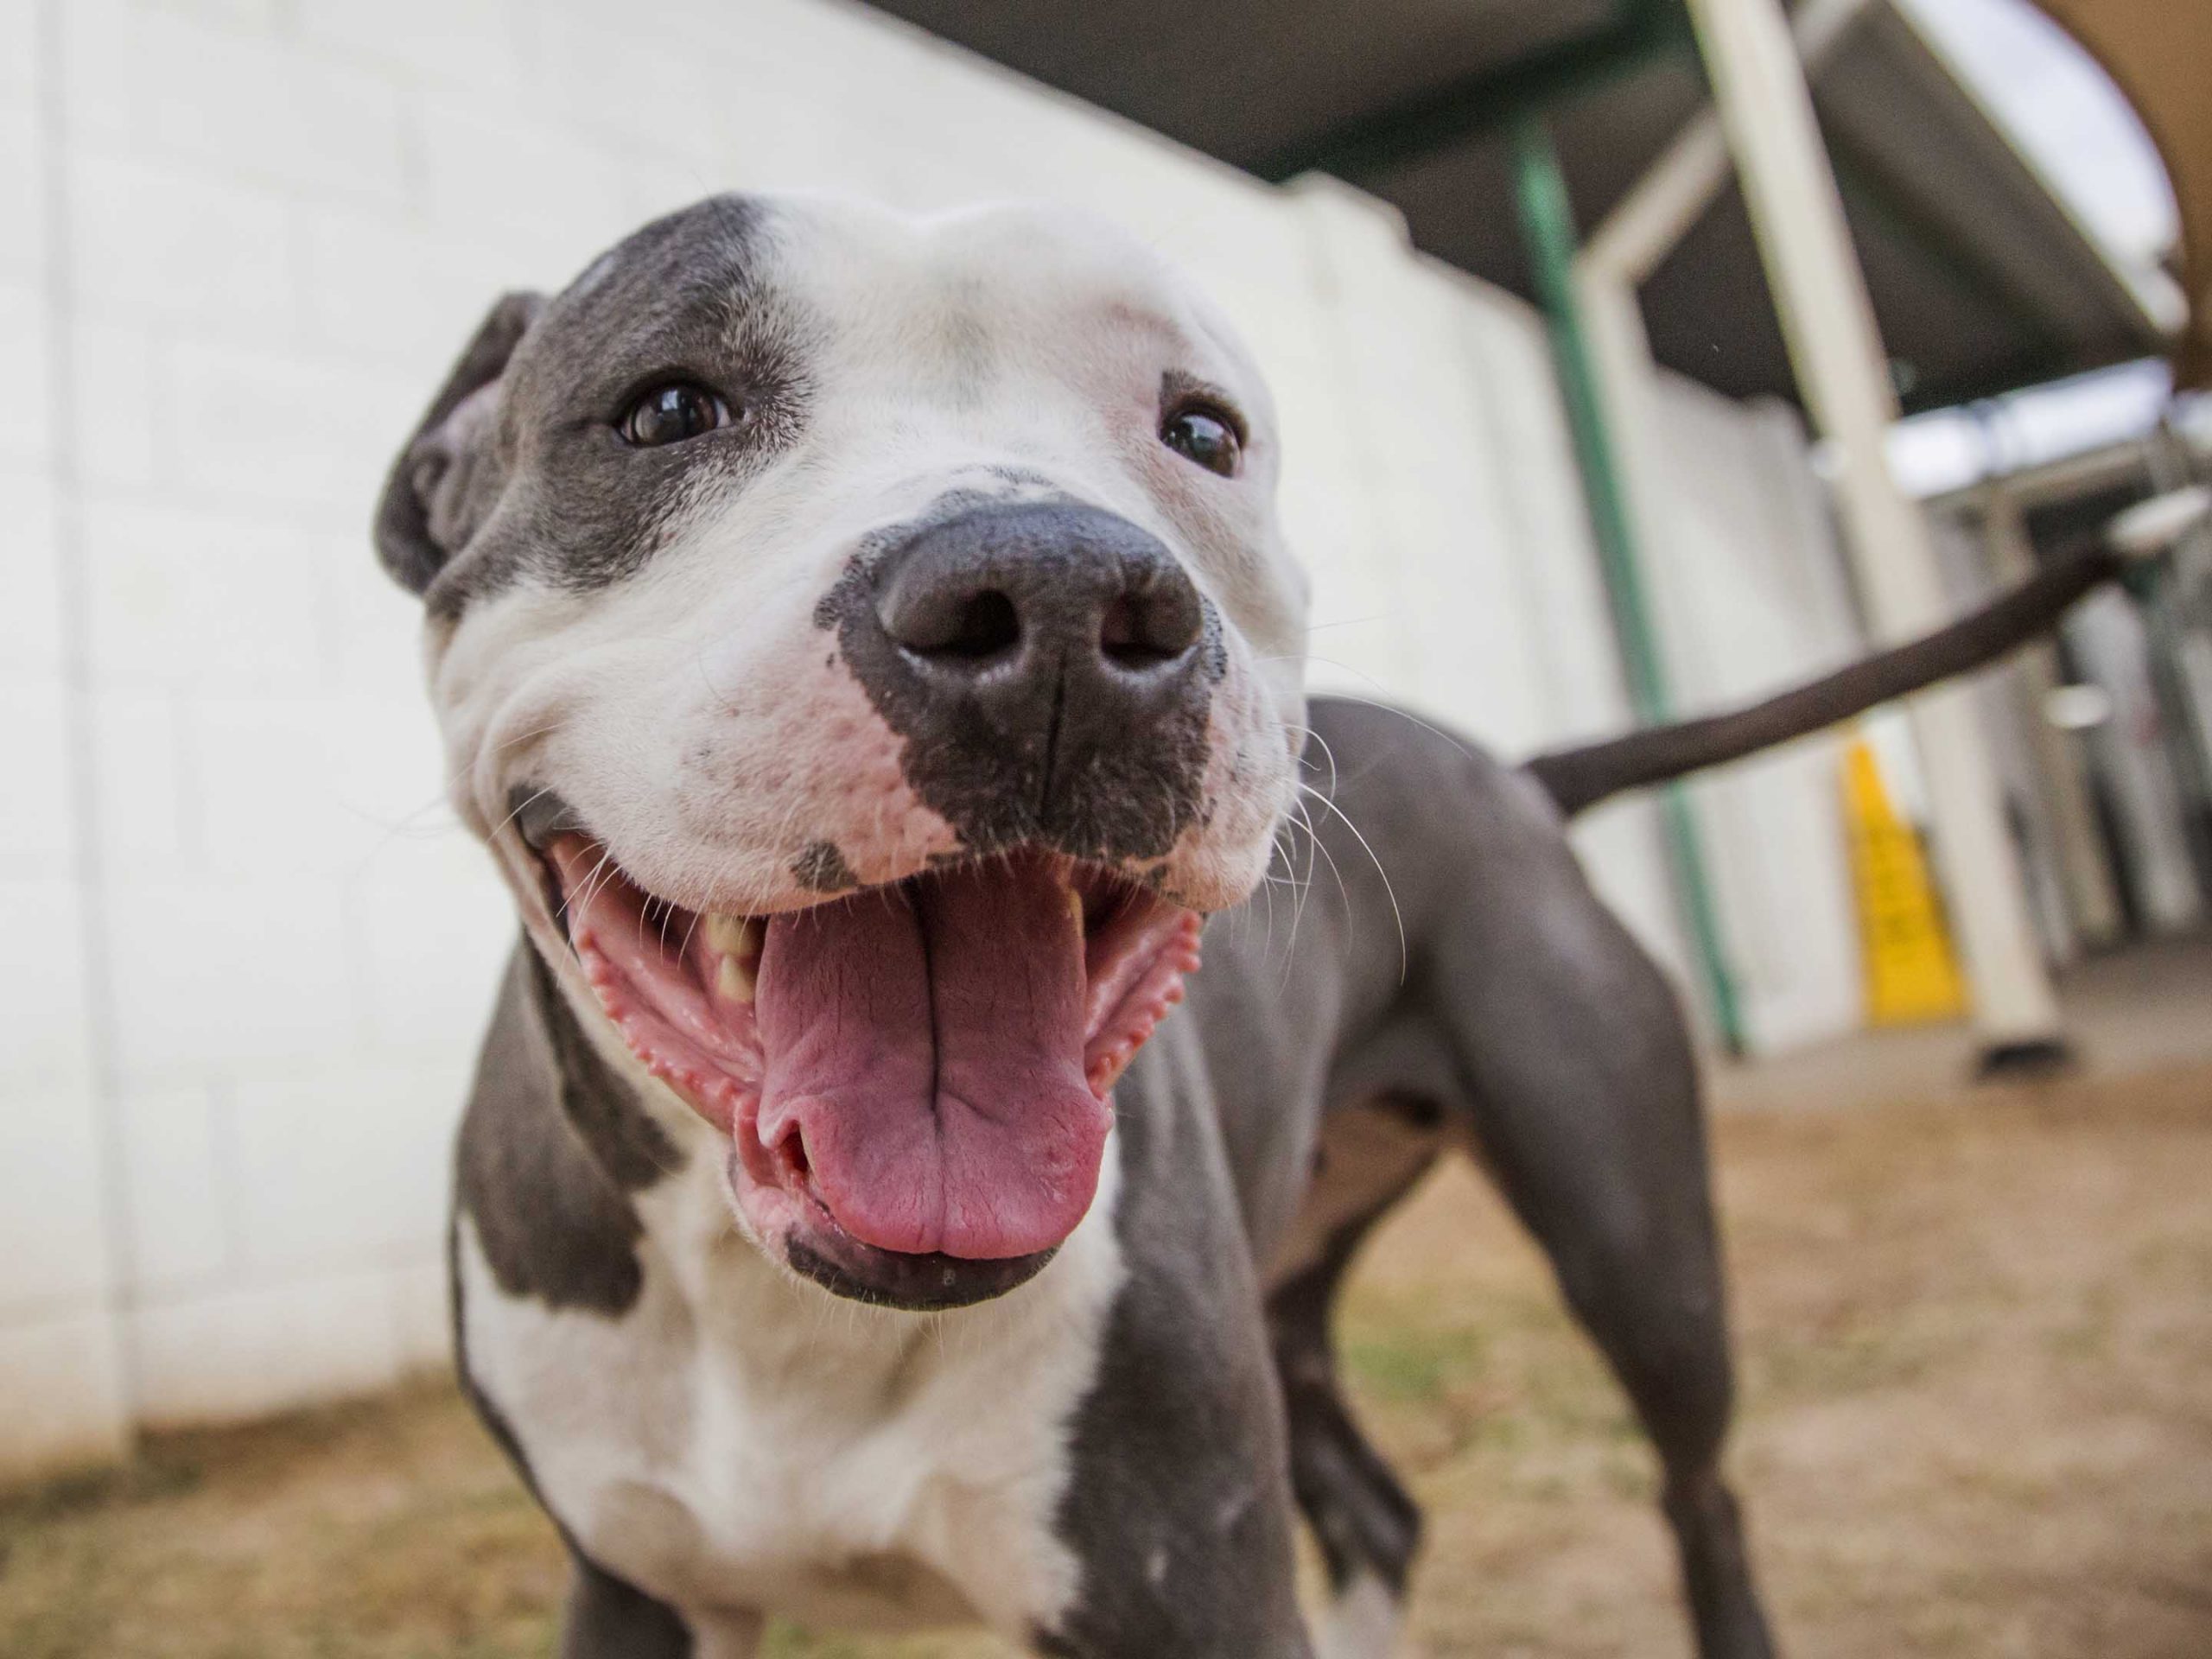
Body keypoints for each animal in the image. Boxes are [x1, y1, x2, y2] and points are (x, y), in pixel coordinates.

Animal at [372, 188, 2114, 1654]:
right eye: (668, 407)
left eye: (1200, 432)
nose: (1057, 598)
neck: (777, 1300)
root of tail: (1514, 772)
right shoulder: (632, 1589)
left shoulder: (1182, 1573)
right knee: (1383, 1512)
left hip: (1640, 1253)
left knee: (1702, 1494)